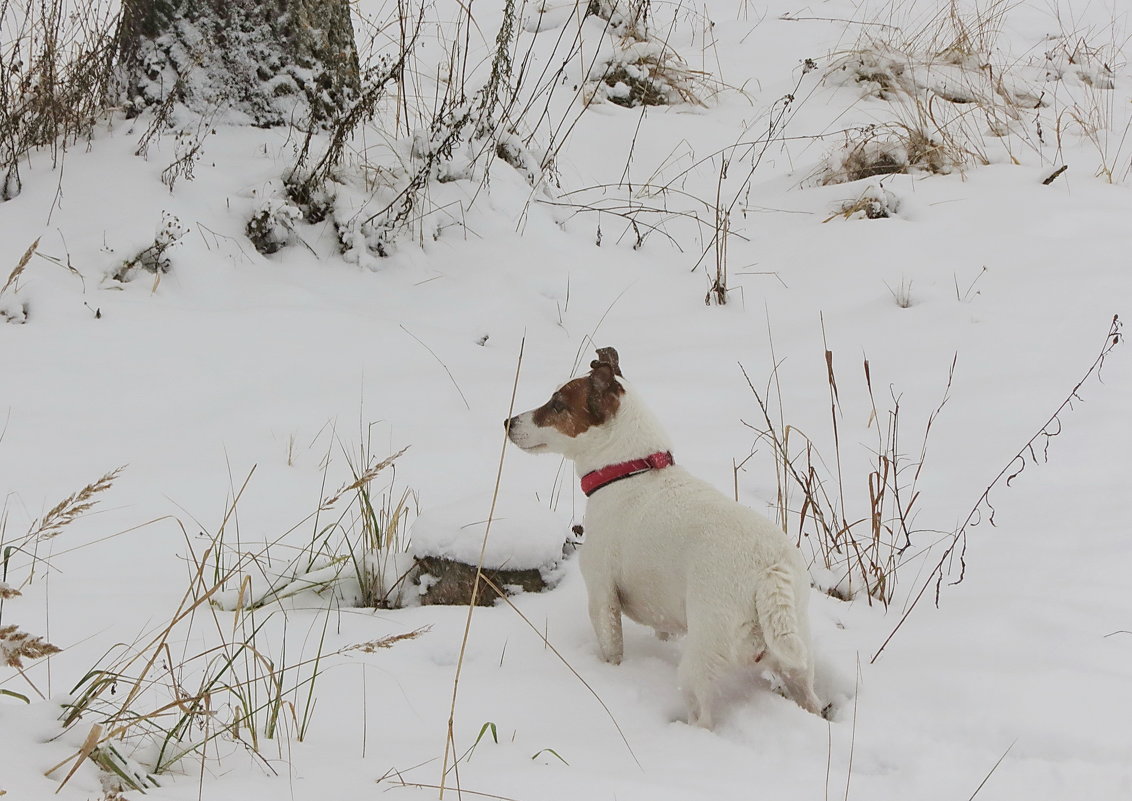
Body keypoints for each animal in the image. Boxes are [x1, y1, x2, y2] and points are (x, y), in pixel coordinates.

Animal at [507, 343, 824, 724]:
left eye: (557, 404)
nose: (507, 422)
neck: (629, 471)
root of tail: (769, 572)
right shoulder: (662, 611)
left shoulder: (602, 595)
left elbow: (612, 647)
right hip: (798, 659)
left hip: (701, 661)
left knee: (703, 716)